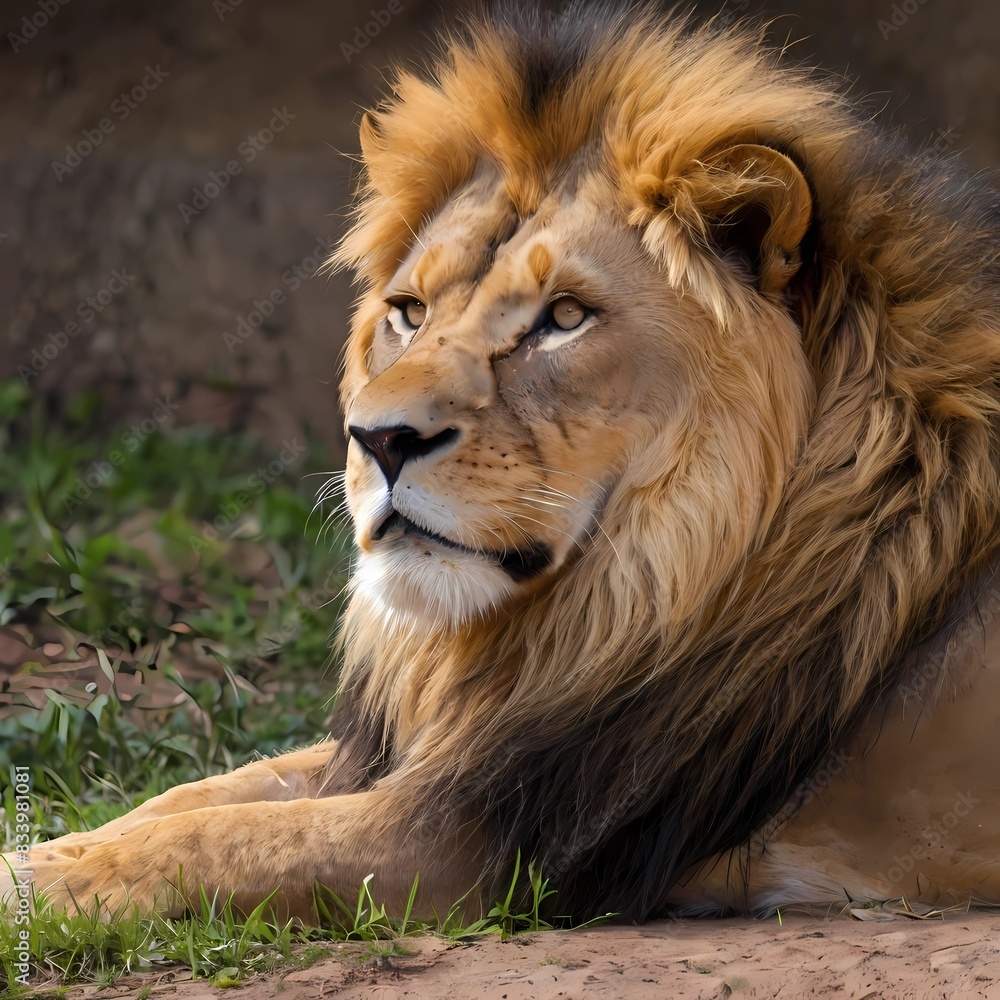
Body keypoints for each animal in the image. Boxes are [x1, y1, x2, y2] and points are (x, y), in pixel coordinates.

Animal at [5, 5, 1000, 926]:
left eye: (563, 318)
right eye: (408, 311)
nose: (378, 439)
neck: (637, 584)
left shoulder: (490, 838)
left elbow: (223, 838)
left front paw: (39, 889)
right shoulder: (456, 751)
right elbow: (201, 795)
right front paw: (42, 854)